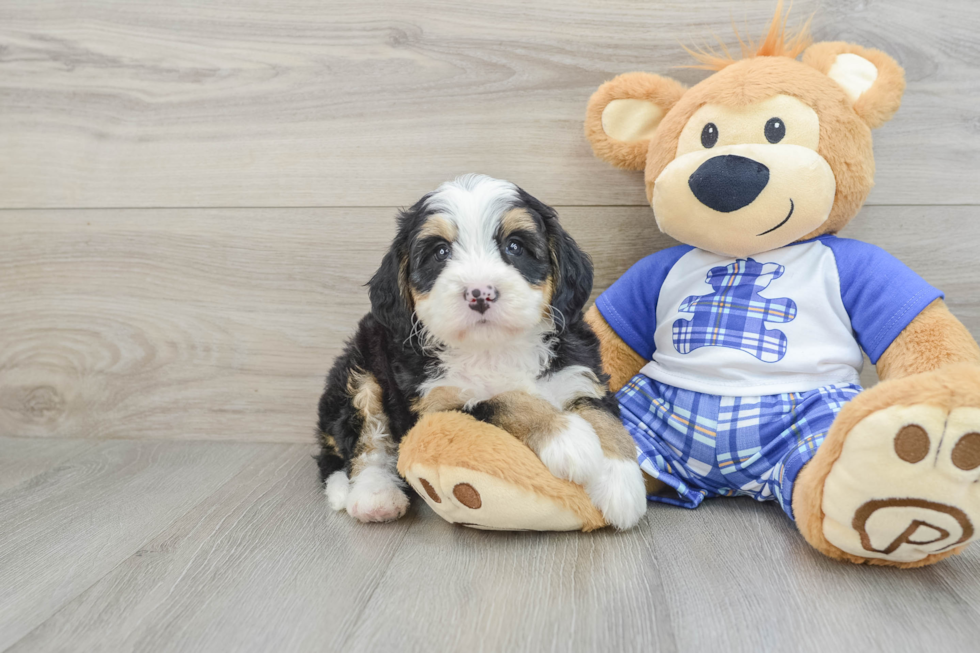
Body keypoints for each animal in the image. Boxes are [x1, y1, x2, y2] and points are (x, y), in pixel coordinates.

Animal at [318, 174, 648, 528]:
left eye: (514, 246)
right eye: (440, 252)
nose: (480, 293)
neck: (494, 347)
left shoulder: (579, 372)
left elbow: (604, 416)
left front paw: (621, 482)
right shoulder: (439, 403)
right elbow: (506, 400)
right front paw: (567, 436)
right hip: (361, 372)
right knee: (366, 443)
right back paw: (375, 496)